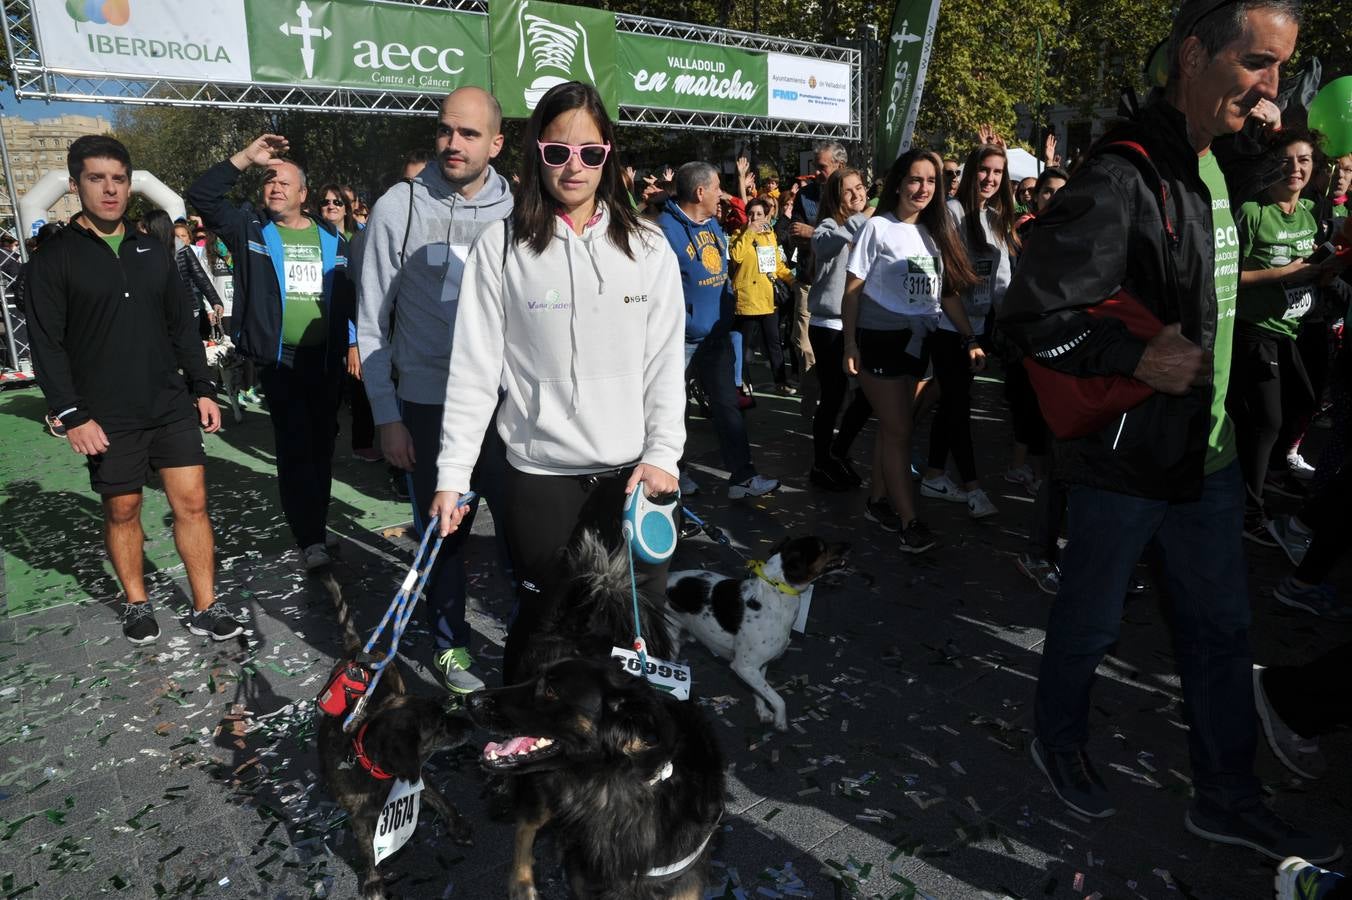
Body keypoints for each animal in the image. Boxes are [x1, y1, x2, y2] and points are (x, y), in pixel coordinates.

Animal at [312, 575, 475, 897]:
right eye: (439, 726)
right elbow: (367, 849)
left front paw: (458, 825)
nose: (470, 725)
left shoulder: (417, 774)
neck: (369, 762)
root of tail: (361, 652)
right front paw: (373, 880)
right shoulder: (359, 817)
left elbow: (440, 798)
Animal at [662, 532, 843, 729]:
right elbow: (778, 699)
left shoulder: (760, 665)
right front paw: (781, 720)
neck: (778, 591)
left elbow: (761, 692)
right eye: (822, 548)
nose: (848, 545)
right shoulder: (744, 666)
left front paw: (763, 712)